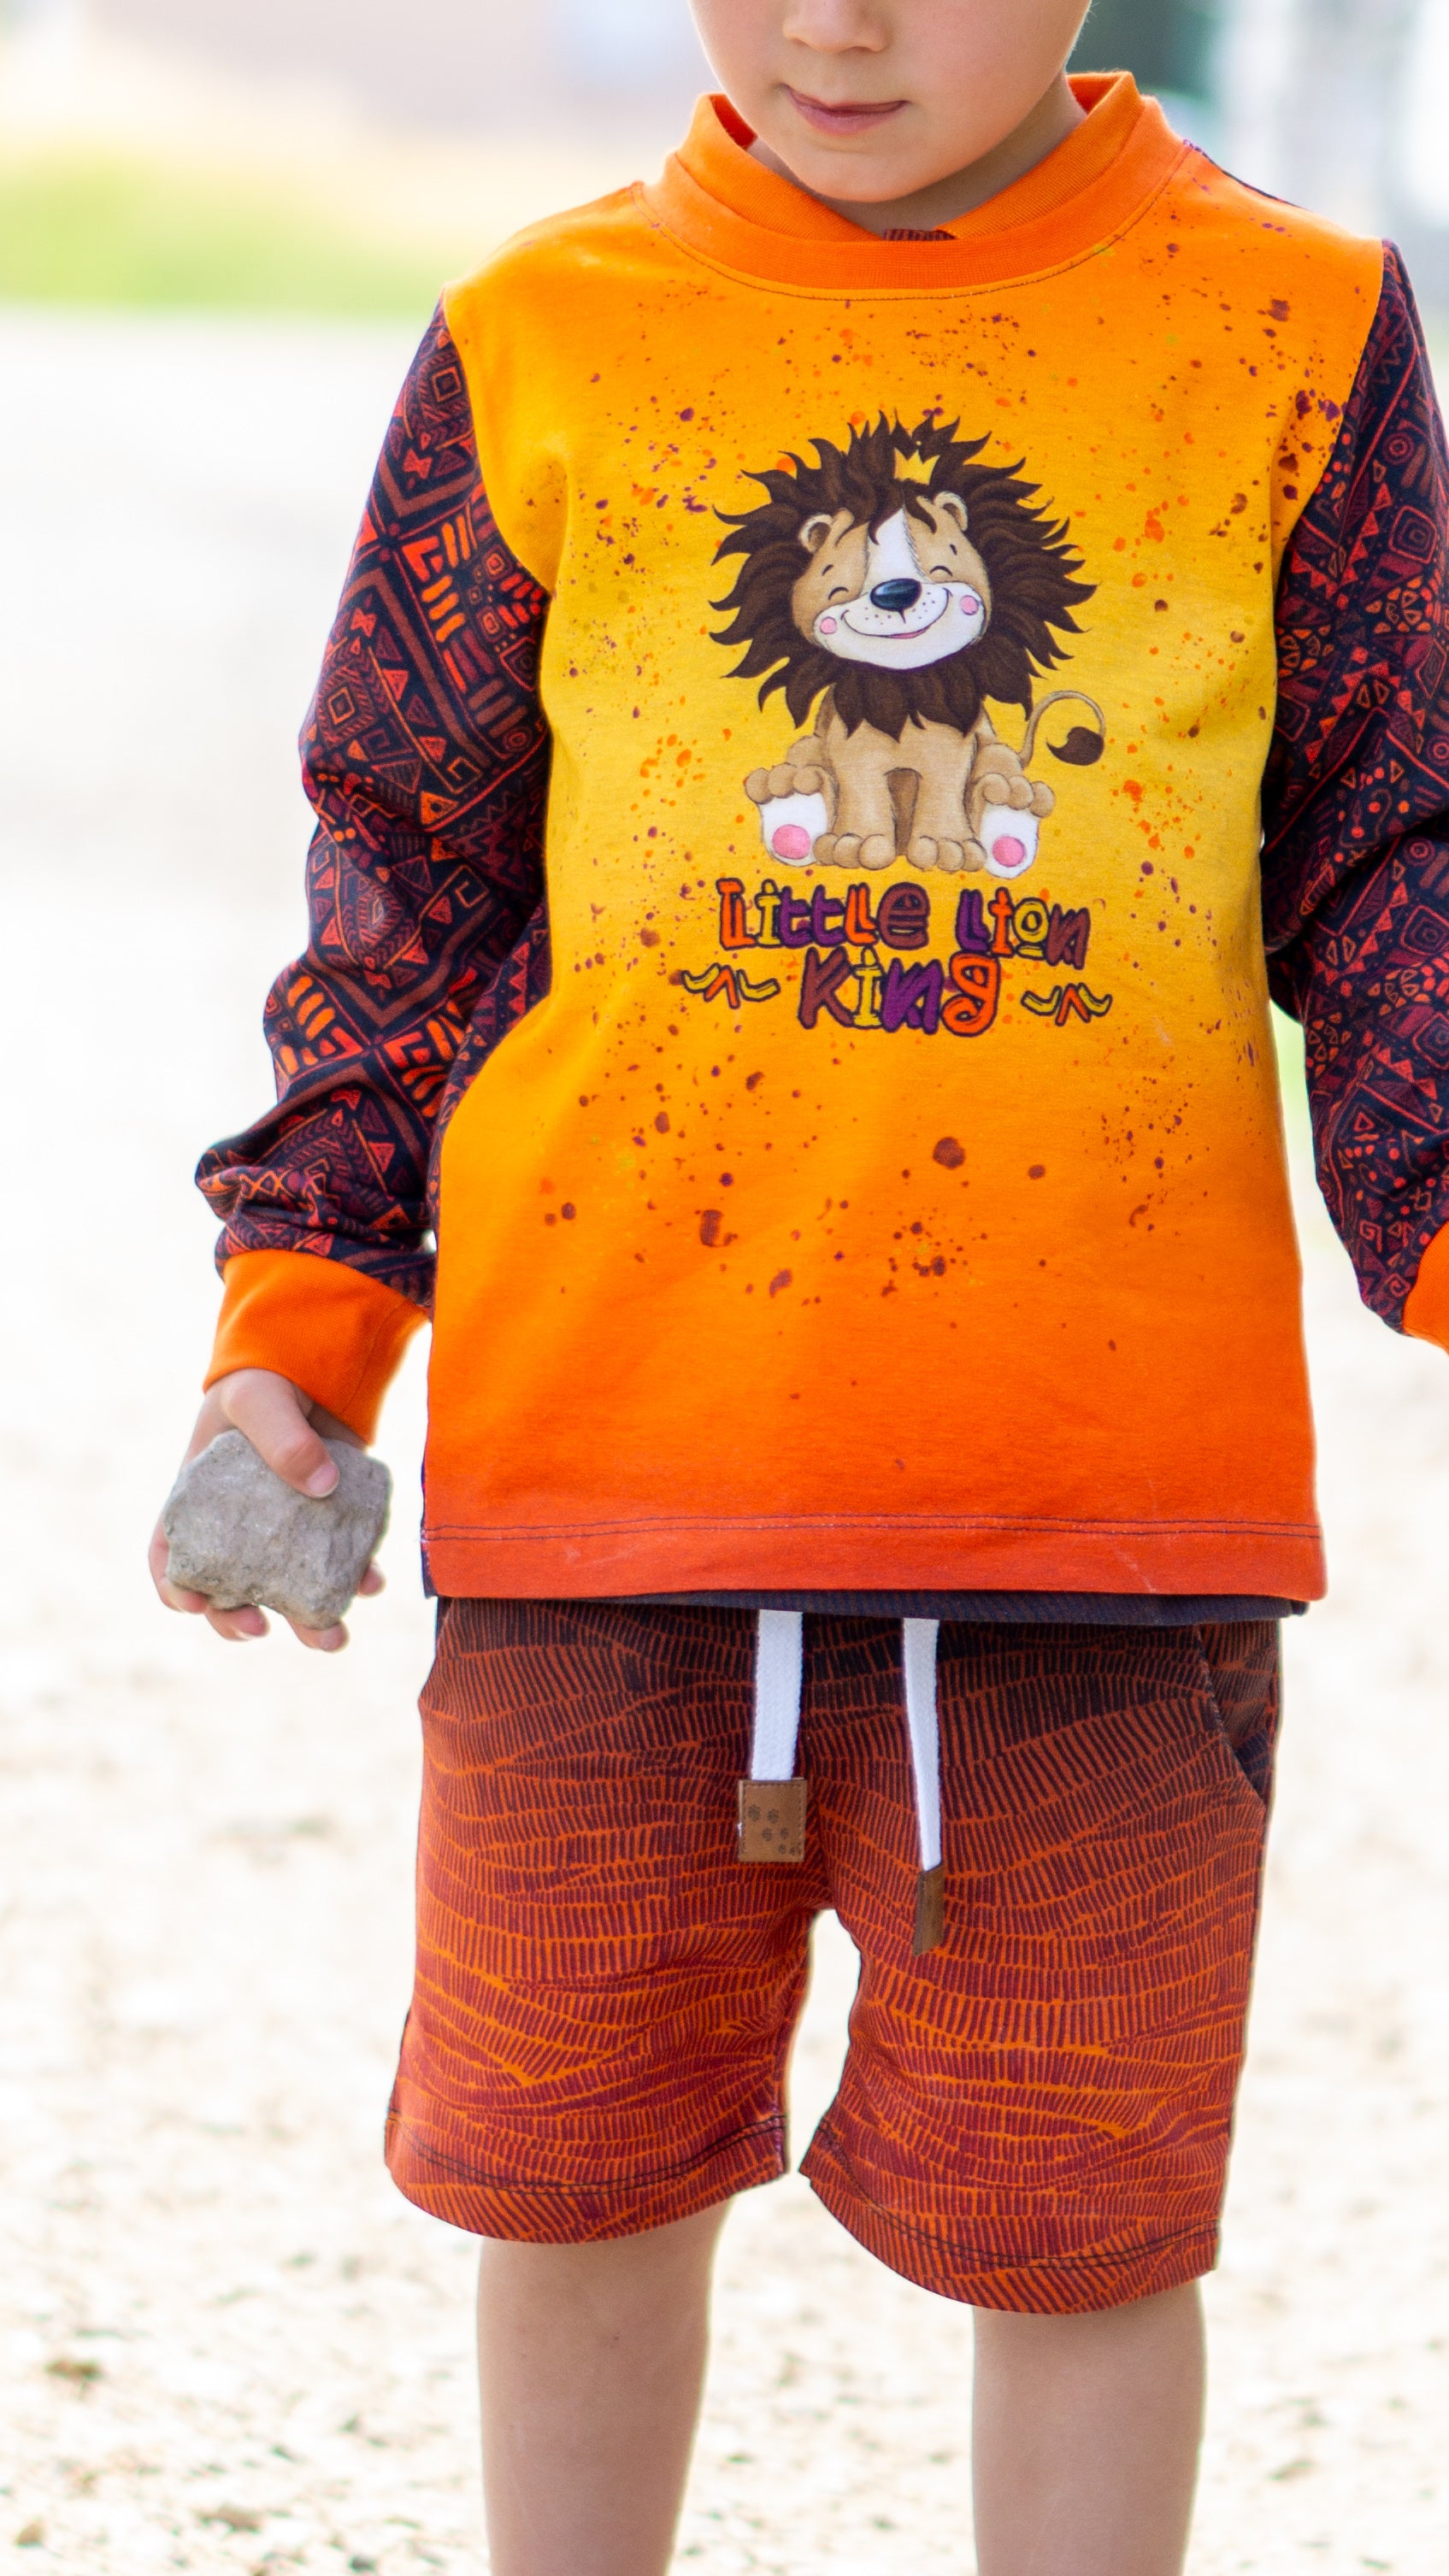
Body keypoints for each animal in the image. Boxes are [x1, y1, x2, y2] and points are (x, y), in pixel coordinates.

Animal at [712, 414, 1105, 875]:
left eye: (943, 561)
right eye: (838, 579)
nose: (897, 592)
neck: (902, 690)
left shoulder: (952, 748)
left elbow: (944, 789)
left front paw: (946, 848)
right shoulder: (853, 749)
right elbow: (861, 791)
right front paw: (855, 844)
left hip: (994, 754)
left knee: (1000, 770)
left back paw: (1009, 821)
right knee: (805, 761)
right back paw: (789, 805)